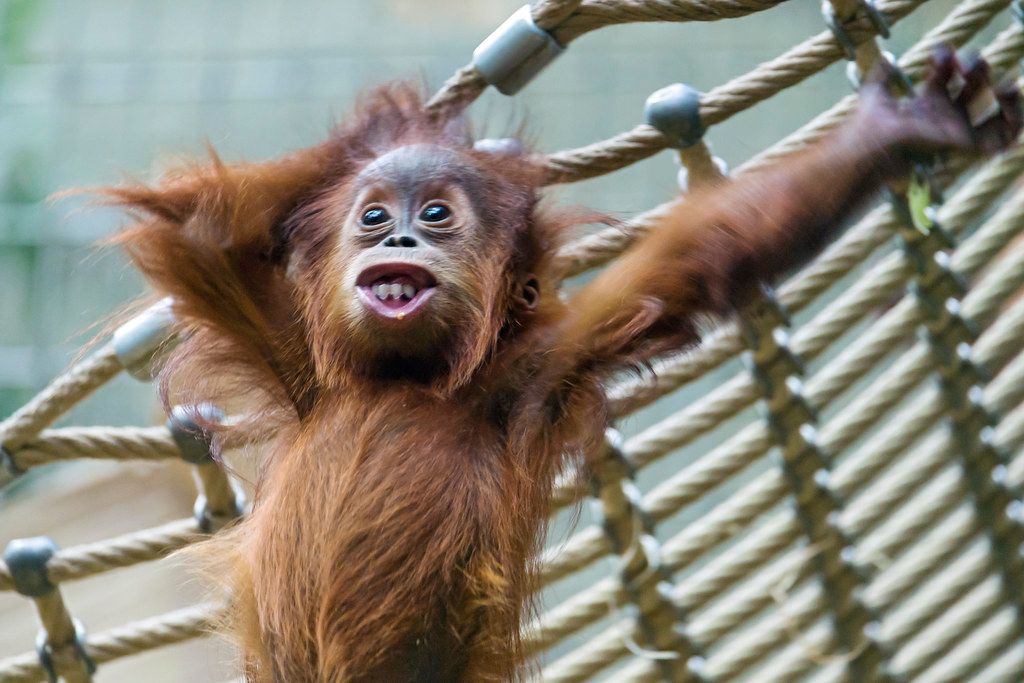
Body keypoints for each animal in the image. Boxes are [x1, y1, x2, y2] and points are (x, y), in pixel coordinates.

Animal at [99, 47, 1020, 680]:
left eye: (437, 215)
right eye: (374, 216)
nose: (401, 240)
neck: (404, 380)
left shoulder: (542, 365)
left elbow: (696, 257)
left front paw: (901, 130)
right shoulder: (300, 366)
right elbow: (202, 235)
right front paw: (395, 130)